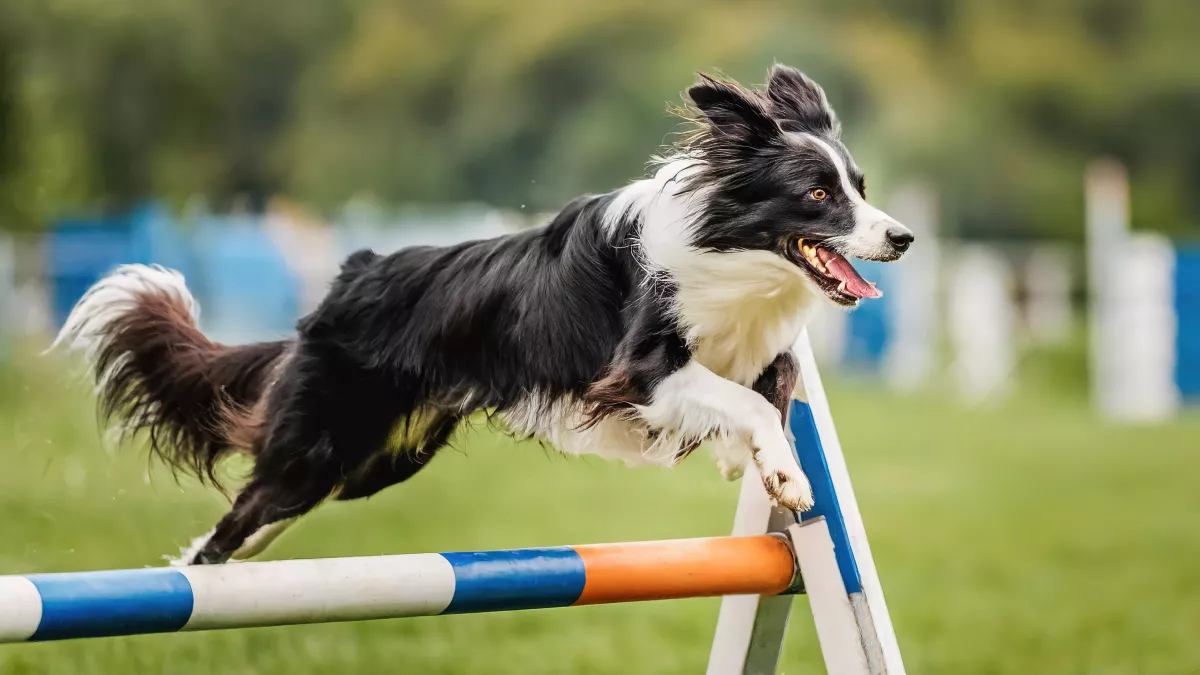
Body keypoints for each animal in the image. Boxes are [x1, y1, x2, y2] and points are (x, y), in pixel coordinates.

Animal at [54, 66, 907, 562]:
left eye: (861, 186)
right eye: (818, 194)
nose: (901, 236)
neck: (733, 251)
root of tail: (349, 278)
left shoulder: (755, 348)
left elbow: (777, 386)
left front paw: (754, 463)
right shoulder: (642, 369)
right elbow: (746, 402)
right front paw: (784, 475)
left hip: (378, 460)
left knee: (253, 522)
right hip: (321, 448)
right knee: (234, 524)